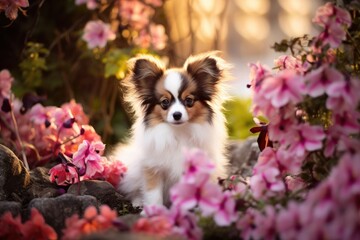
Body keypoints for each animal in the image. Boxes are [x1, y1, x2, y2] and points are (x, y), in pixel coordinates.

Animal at [109, 51, 231, 207]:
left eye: (189, 101)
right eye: (164, 102)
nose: (177, 115)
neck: (179, 132)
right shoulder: (153, 167)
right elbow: (153, 193)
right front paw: (154, 210)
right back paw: (138, 202)